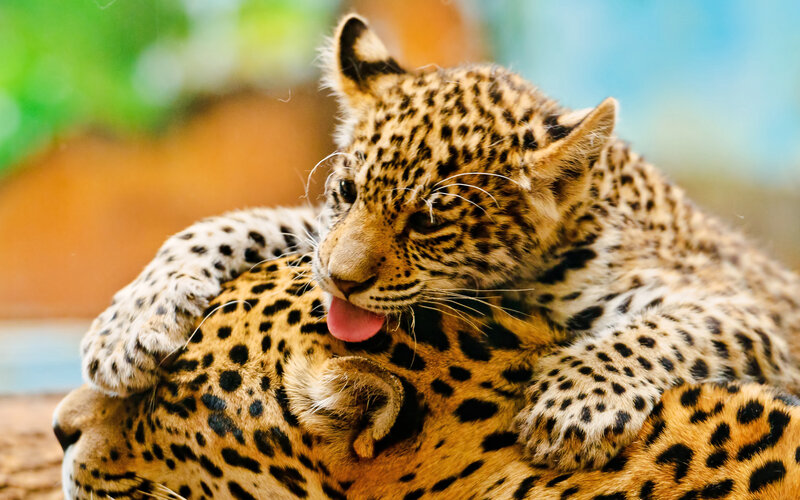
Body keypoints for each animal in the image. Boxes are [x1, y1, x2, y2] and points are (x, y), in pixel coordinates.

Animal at [80, 14, 800, 470]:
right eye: (347, 191)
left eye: (428, 222)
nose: (341, 283)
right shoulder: (318, 233)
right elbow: (236, 223)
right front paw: (129, 326)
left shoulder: (753, 311)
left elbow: (664, 329)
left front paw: (571, 405)